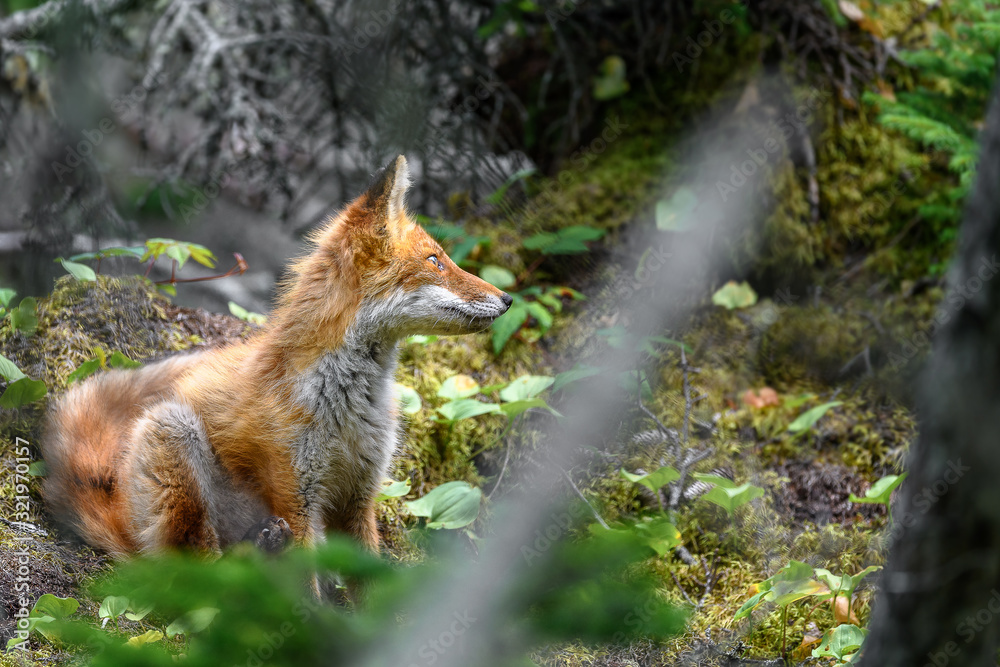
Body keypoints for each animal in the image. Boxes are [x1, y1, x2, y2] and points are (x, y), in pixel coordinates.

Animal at [41, 155, 512, 557]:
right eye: (436, 261)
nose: (508, 299)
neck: (348, 404)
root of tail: (116, 507)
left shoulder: (358, 496)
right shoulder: (294, 492)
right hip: (173, 431)